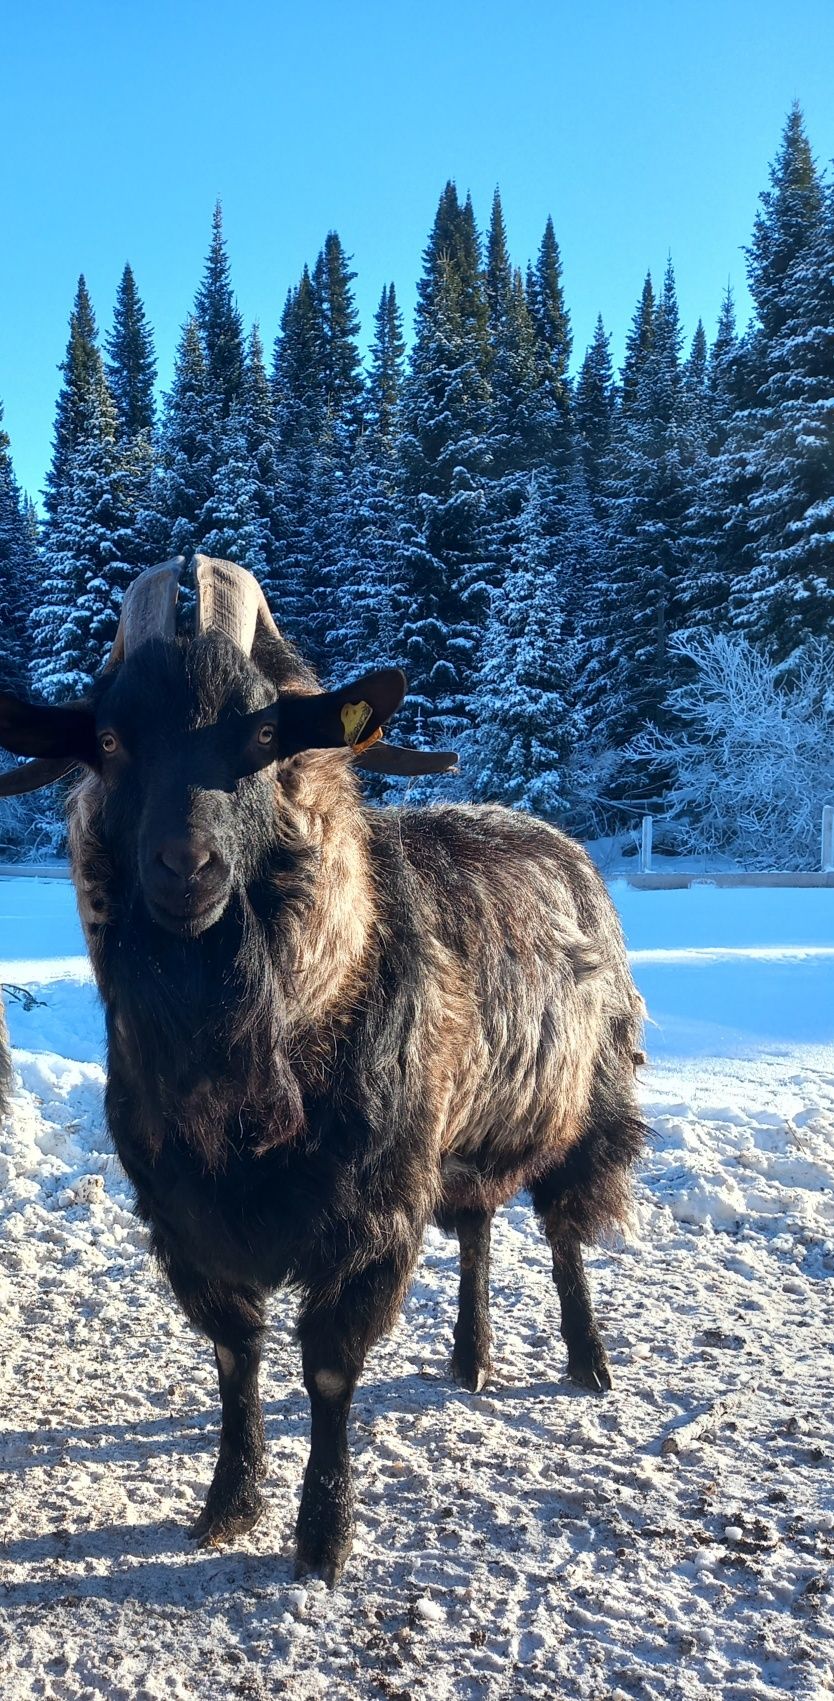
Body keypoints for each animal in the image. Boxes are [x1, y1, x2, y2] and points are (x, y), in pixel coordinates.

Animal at [0, 557, 643, 1578]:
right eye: (106, 736)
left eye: (265, 733)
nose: (186, 866)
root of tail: (560, 842)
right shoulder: (190, 1219)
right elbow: (236, 1359)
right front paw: (228, 1502)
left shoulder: (370, 1210)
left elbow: (331, 1369)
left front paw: (322, 1537)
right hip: (457, 1139)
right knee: (477, 1230)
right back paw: (471, 1356)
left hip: (581, 1104)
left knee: (564, 1231)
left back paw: (588, 1361)